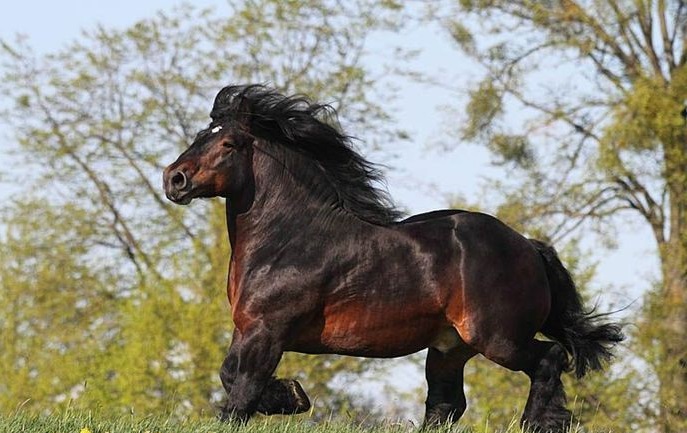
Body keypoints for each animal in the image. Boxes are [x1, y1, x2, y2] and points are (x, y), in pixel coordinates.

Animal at [163, 84, 624, 432]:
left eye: (228, 142)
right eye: (202, 133)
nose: (174, 179)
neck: (292, 240)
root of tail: (530, 247)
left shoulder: (267, 331)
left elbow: (241, 391)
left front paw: (291, 398)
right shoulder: (248, 329)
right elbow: (230, 375)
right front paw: (292, 396)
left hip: (498, 339)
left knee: (548, 360)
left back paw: (536, 422)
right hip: (449, 348)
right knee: (445, 406)